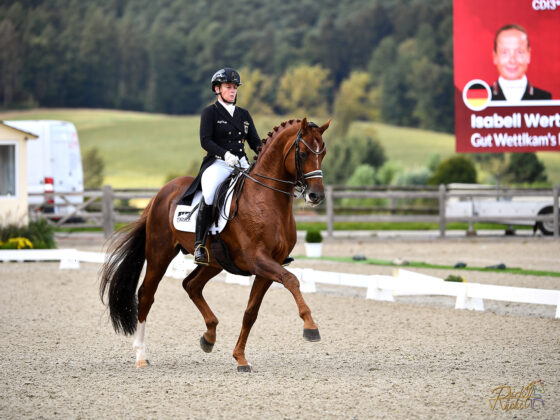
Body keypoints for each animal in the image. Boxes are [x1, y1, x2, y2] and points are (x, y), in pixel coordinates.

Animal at [99, 117, 328, 370]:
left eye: (323, 152)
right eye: (304, 153)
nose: (316, 196)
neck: (266, 200)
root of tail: (162, 192)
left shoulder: (269, 266)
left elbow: (251, 312)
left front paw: (240, 358)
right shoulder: (259, 260)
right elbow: (292, 280)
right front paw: (310, 327)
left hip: (213, 262)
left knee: (191, 285)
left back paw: (209, 337)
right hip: (160, 254)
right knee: (146, 295)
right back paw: (141, 356)